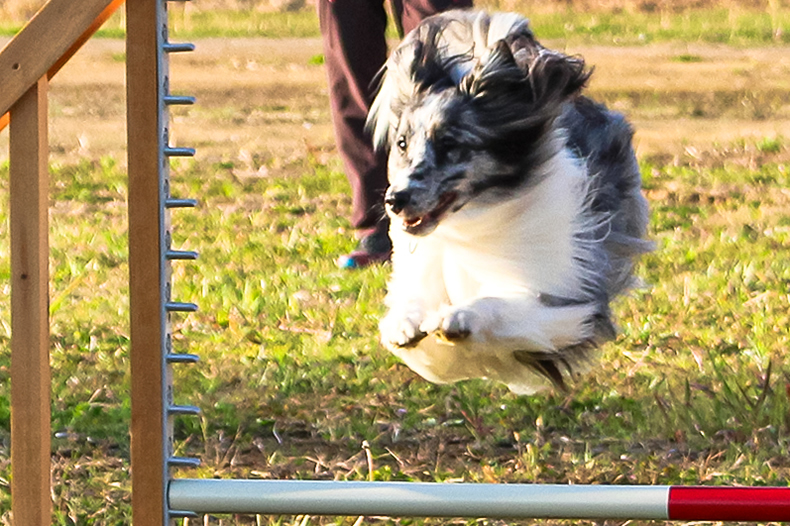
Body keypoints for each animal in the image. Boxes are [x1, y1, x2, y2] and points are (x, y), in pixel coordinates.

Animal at [368, 10, 652, 396]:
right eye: (401, 144)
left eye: (450, 144)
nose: (394, 200)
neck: (473, 219)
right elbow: (409, 303)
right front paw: (403, 323)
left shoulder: (569, 303)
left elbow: (504, 306)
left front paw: (460, 316)